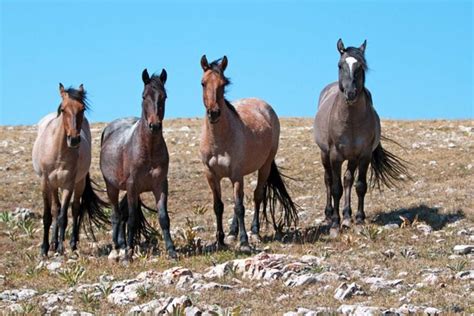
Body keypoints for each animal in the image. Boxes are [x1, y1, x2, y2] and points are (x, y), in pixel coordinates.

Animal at [32, 82, 109, 256]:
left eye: (83, 109)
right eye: (62, 109)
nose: (73, 139)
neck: (58, 151)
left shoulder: (68, 183)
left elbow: (63, 217)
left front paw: (61, 248)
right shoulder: (45, 183)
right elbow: (48, 215)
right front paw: (44, 249)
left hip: (78, 183)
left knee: (75, 209)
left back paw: (72, 244)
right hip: (54, 185)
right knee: (56, 209)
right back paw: (53, 244)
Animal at [100, 68, 176, 260]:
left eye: (164, 96)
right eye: (144, 96)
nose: (154, 125)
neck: (148, 149)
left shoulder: (160, 185)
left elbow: (163, 218)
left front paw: (172, 250)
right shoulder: (132, 185)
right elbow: (133, 220)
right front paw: (128, 254)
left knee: (122, 214)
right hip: (112, 187)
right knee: (116, 215)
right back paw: (119, 246)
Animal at [199, 54, 296, 252]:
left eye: (223, 84)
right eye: (203, 83)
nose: (214, 113)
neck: (218, 141)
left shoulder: (236, 174)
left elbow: (240, 207)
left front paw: (244, 242)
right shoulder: (211, 175)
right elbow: (219, 206)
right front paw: (220, 240)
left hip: (264, 166)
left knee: (257, 196)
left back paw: (255, 232)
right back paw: (232, 232)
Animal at [312, 39, 410, 237]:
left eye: (361, 67)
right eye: (340, 65)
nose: (350, 93)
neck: (350, 121)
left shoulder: (364, 155)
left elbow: (360, 186)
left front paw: (357, 221)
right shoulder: (335, 156)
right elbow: (336, 188)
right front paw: (335, 225)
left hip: (352, 158)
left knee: (348, 179)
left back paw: (347, 216)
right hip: (325, 154)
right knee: (328, 179)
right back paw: (329, 215)